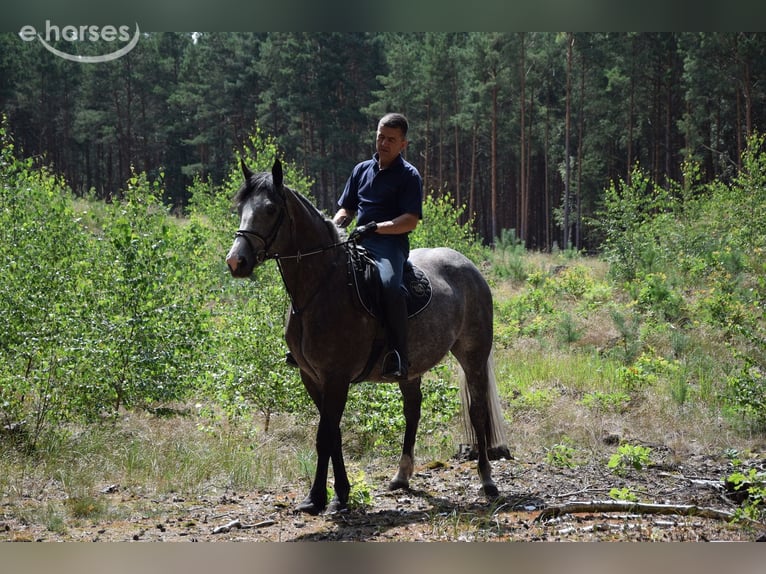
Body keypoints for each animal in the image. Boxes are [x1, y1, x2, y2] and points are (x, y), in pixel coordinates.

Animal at [225, 158, 508, 515]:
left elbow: (325, 435)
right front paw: (331, 495)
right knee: (413, 410)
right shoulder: (311, 376)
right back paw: (401, 476)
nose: (236, 261)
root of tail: (469, 267)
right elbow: (331, 433)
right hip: (410, 368)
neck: (320, 288)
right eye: (241, 208)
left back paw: (487, 480)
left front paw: (326, 497)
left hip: (473, 356)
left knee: (478, 412)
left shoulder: (336, 376)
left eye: (270, 209)